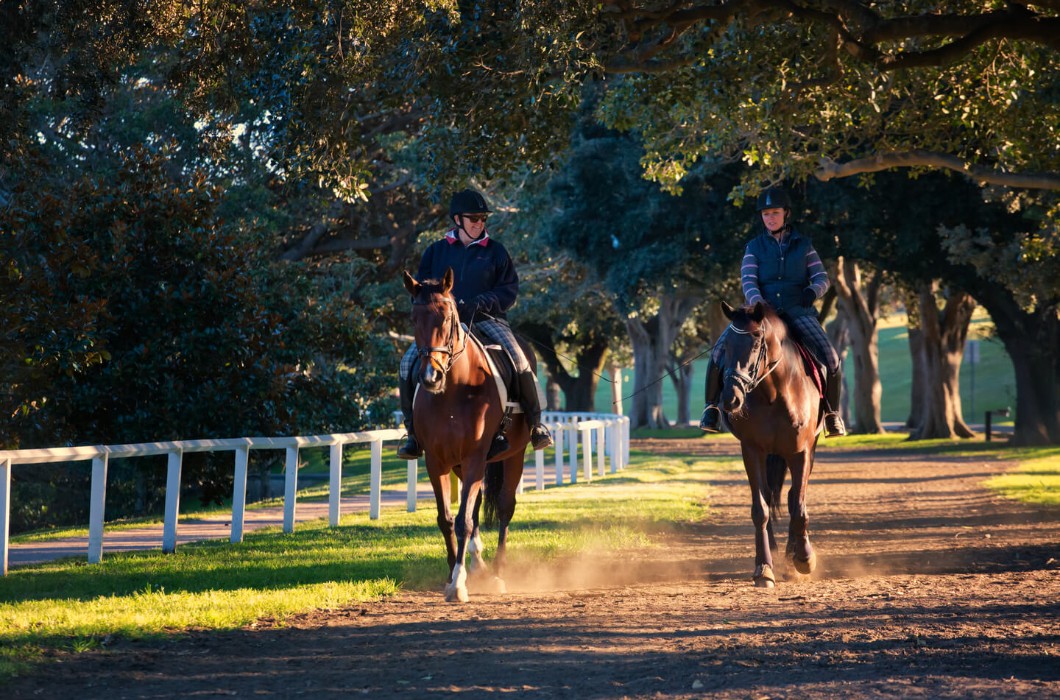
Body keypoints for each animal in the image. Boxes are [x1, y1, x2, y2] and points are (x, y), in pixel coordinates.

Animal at [400, 266, 530, 602]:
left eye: (447, 317)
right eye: (413, 318)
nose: (430, 377)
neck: (453, 391)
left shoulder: (474, 458)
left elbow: (463, 521)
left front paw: (458, 583)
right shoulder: (437, 462)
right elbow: (447, 519)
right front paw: (452, 574)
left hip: (514, 455)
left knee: (505, 506)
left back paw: (497, 572)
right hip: (462, 465)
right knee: (478, 503)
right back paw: (479, 564)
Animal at [716, 301, 822, 589]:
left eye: (755, 342)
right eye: (725, 346)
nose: (730, 399)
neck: (775, 393)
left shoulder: (801, 452)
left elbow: (798, 506)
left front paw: (804, 558)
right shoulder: (752, 451)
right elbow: (760, 509)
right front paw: (763, 567)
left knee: (793, 497)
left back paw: (793, 554)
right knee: (768, 494)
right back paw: (775, 554)